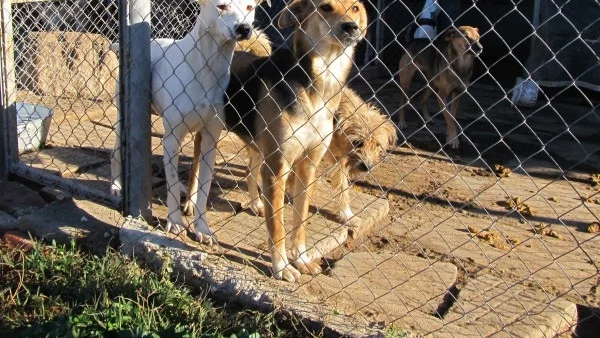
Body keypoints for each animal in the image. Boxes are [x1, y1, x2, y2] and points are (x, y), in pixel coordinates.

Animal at [111, 0, 266, 244]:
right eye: (221, 6)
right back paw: (116, 187)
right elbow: (172, 184)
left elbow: (204, 187)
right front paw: (175, 222)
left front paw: (202, 228)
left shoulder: (210, 140)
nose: (243, 28)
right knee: (116, 152)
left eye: (250, 7)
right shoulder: (172, 138)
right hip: (122, 117)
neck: (207, 66)